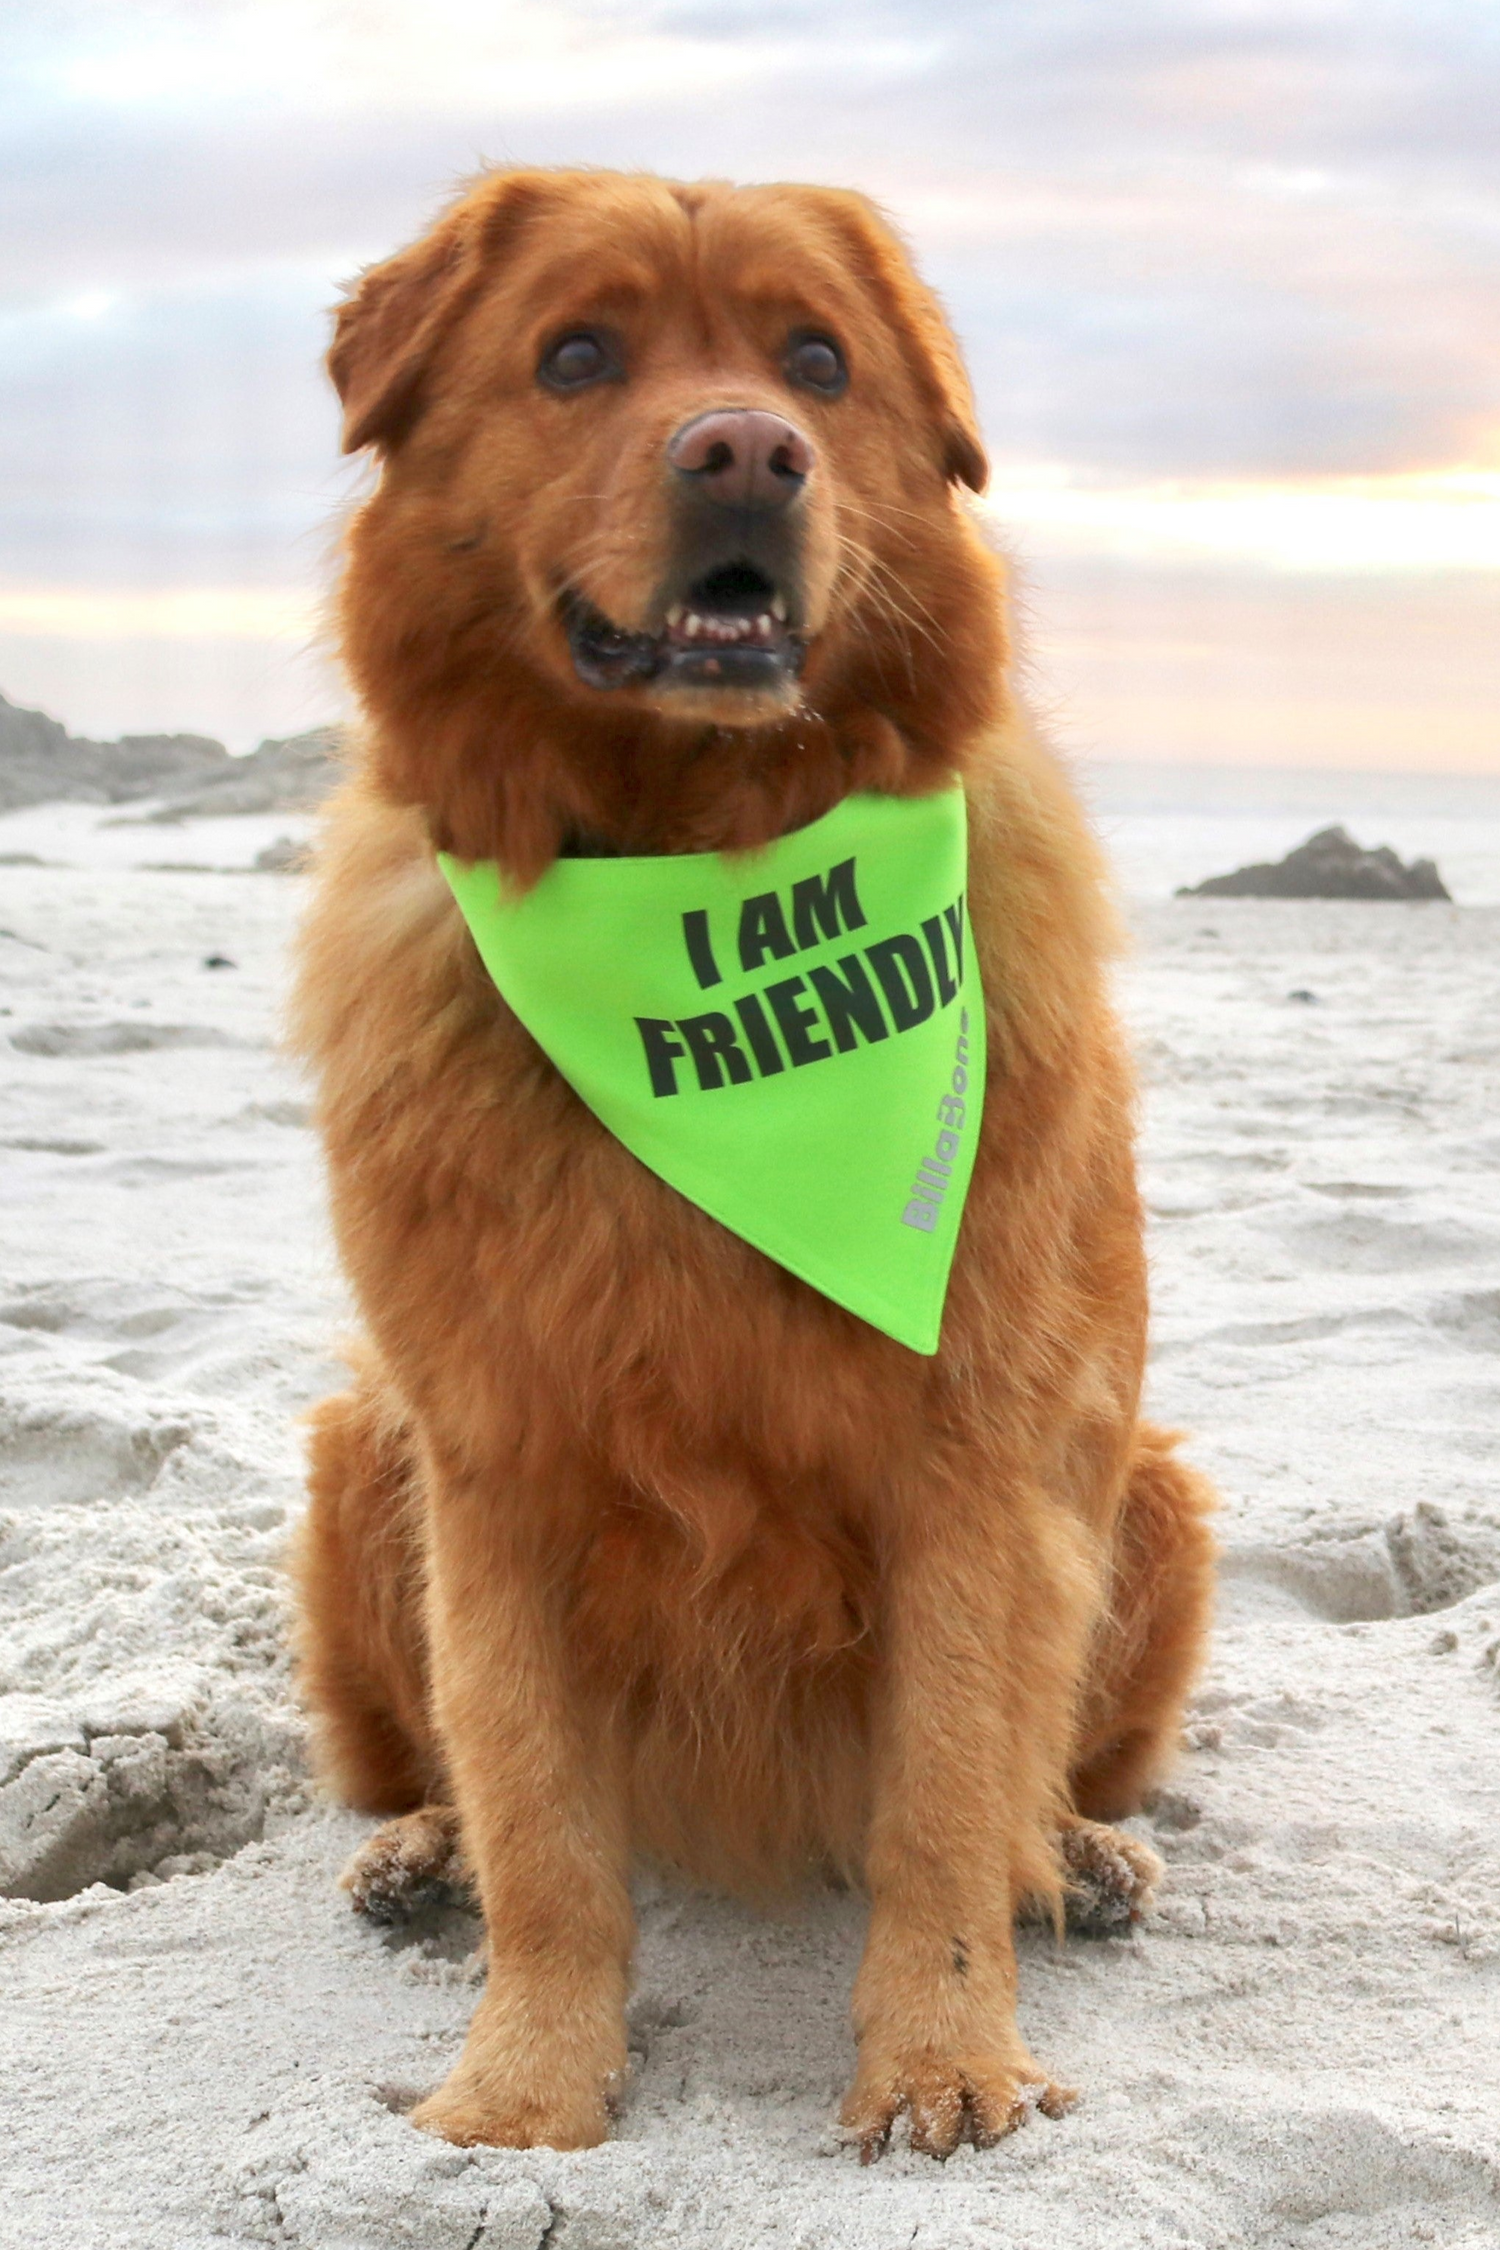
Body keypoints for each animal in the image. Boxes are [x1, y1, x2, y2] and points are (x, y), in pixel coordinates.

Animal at [292, 163, 1223, 2160]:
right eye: (576, 355)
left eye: (817, 360)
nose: (743, 450)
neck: (696, 865)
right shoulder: (493, 1463)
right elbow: (542, 1824)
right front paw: (525, 2086)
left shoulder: (968, 1456)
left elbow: (947, 1800)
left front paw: (945, 2067)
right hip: (354, 1457)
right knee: (433, 1772)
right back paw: (416, 1850)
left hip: (1151, 1496)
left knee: (1048, 1781)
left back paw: (1086, 1855)